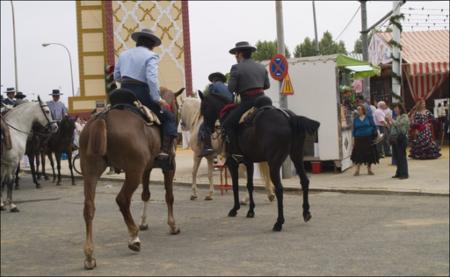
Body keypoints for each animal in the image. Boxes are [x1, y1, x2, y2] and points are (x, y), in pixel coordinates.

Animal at [79, 86, 183, 268]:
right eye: (177, 106)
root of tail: (104, 117)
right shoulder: (170, 165)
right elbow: (169, 196)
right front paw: (172, 225)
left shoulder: (147, 168)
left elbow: (146, 194)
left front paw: (144, 222)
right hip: (134, 172)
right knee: (122, 199)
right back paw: (133, 238)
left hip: (90, 172)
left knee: (89, 208)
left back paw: (89, 255)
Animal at [198, 92, 320, 231]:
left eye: (203, 108)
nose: (208, 129)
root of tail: (289, 118)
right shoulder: (249, 162)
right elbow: (249, 185)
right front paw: (251, 211)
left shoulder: (232, 163)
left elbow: (235, 186)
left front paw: (235, 209)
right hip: (297, 156)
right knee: (304, 181)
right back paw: (306, 213)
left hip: (274, 163)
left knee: (279, 188)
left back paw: (279, 222)